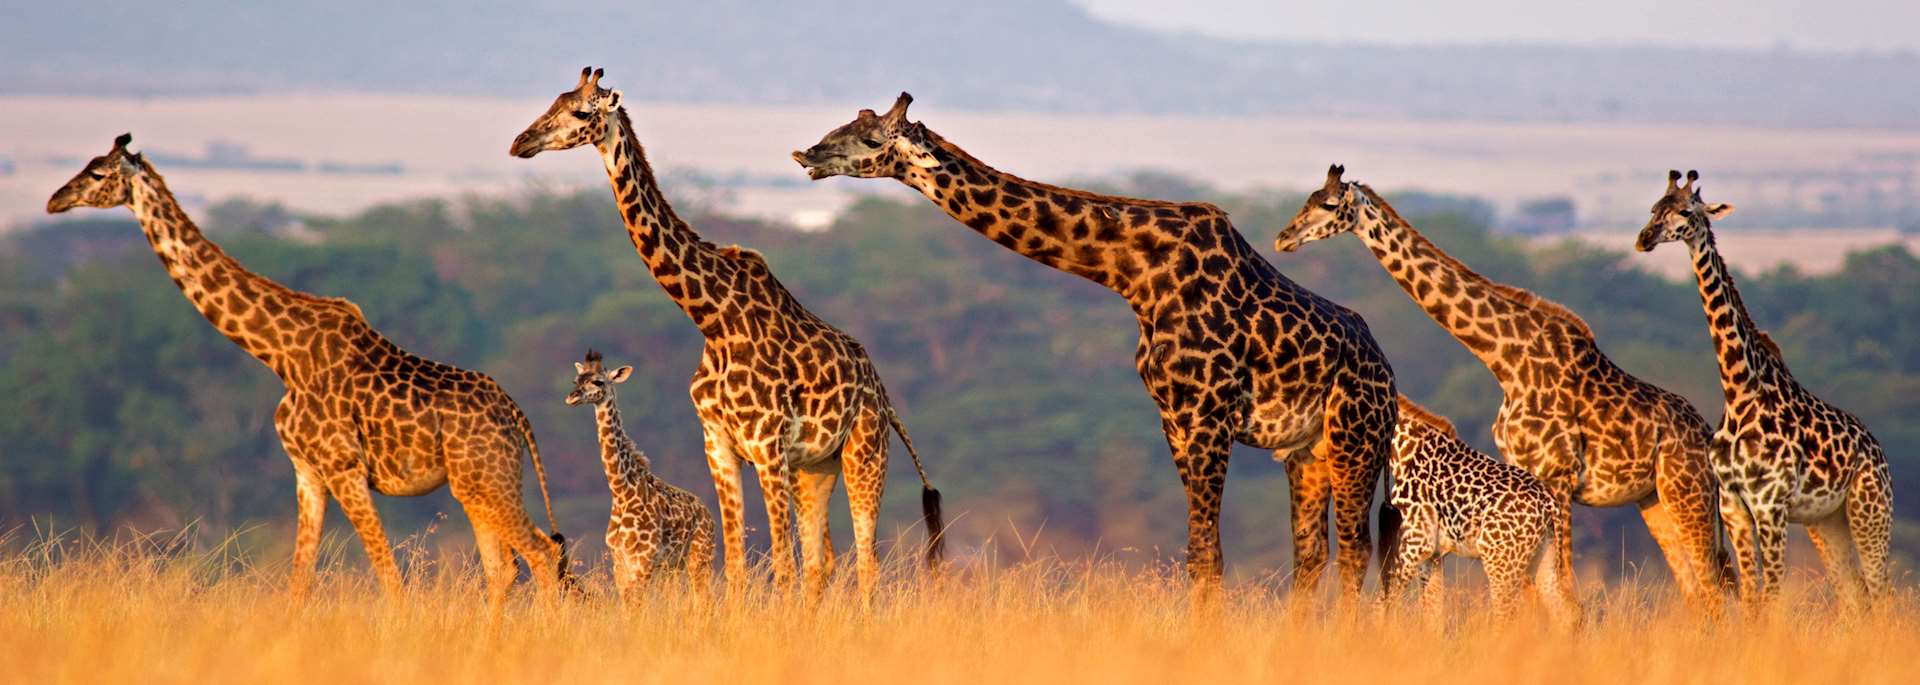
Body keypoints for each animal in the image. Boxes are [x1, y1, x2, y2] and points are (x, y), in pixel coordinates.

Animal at [45, 134, 569, 613]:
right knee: (505, 568)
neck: (279, 354)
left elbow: (390, 576)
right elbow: (299, 583)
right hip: (476, 486)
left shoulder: (343, 467)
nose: (55, 200)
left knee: (542, 553)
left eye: (97, 173)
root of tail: (517, 415)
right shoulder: (306, 471)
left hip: (486, 480)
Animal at [565, 349, 715, 604]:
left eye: (598, 381)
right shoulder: (620, 562)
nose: (571, 397)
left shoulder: (644, 560)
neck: (622, 492)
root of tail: (709, 514)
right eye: (576, 380)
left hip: (700, 557)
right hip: (673, 567)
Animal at [793, 94, 1400, 600]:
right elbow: (1199, 553)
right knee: (1312, 554)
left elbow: (1207, 553)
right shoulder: (1174, 418)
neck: (1135, 273)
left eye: (873, 140)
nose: (807, 154)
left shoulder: (1208, 416)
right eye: (846, 124)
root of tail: (1389, 377)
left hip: (1356, 439)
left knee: (1355, 549)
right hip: (1307, 452)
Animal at [1386, 395, 1581, 629]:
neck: (1403, 452)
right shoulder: (1433, 556)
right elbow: (1432, 616)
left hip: (1500, 562)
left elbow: (1383, 603)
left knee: (1507, 617)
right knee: (1566, 613)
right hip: (1544, 557)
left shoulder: (1415, 544)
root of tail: (1549, 503)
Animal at [1635, 170, 1893, 611]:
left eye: (1686, 212)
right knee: (1854, 595)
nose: (1644, 238)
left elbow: (1769, 598)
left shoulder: (1770, 506)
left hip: (1870, 509)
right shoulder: (1733, 506)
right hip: (1827, 521)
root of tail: (1878, 451)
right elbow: (1752, 599)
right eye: (1654, 208)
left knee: (1881, 591)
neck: (1740, 390)